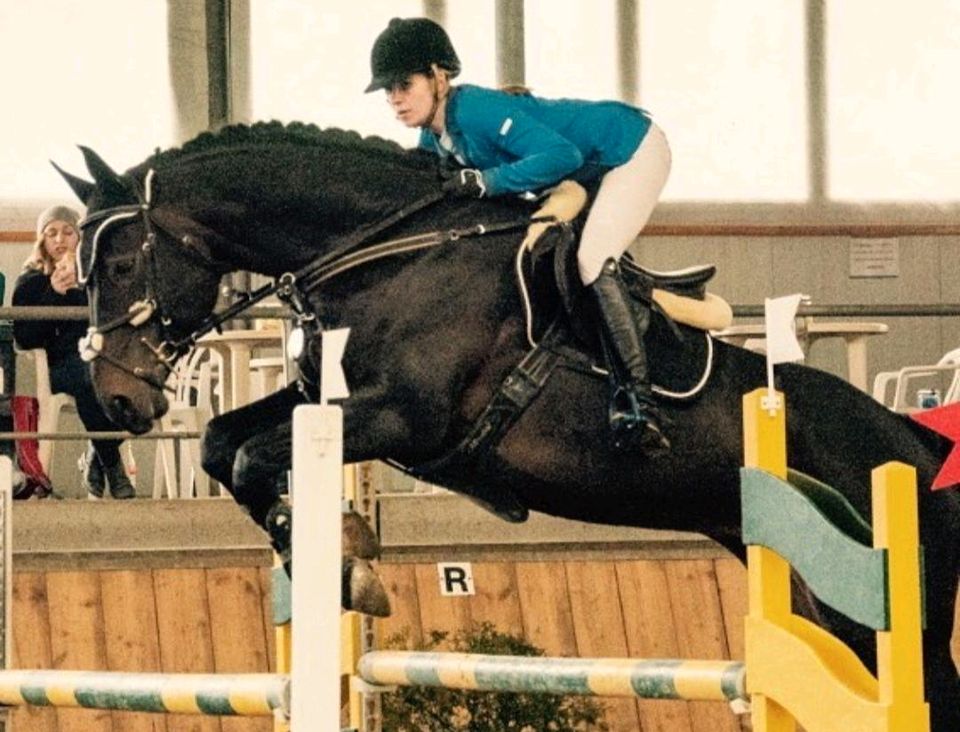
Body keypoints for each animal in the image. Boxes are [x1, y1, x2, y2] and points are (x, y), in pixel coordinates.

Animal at [58, 123, 960, 728]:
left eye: (121, 264)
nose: (119, 401)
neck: (387, 253)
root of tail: (916, 442)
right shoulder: (331, 400)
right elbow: (225, 444)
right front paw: (339, 549)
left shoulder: (404, 415)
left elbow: (250, 457)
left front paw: (345, 565)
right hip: (812, 598)